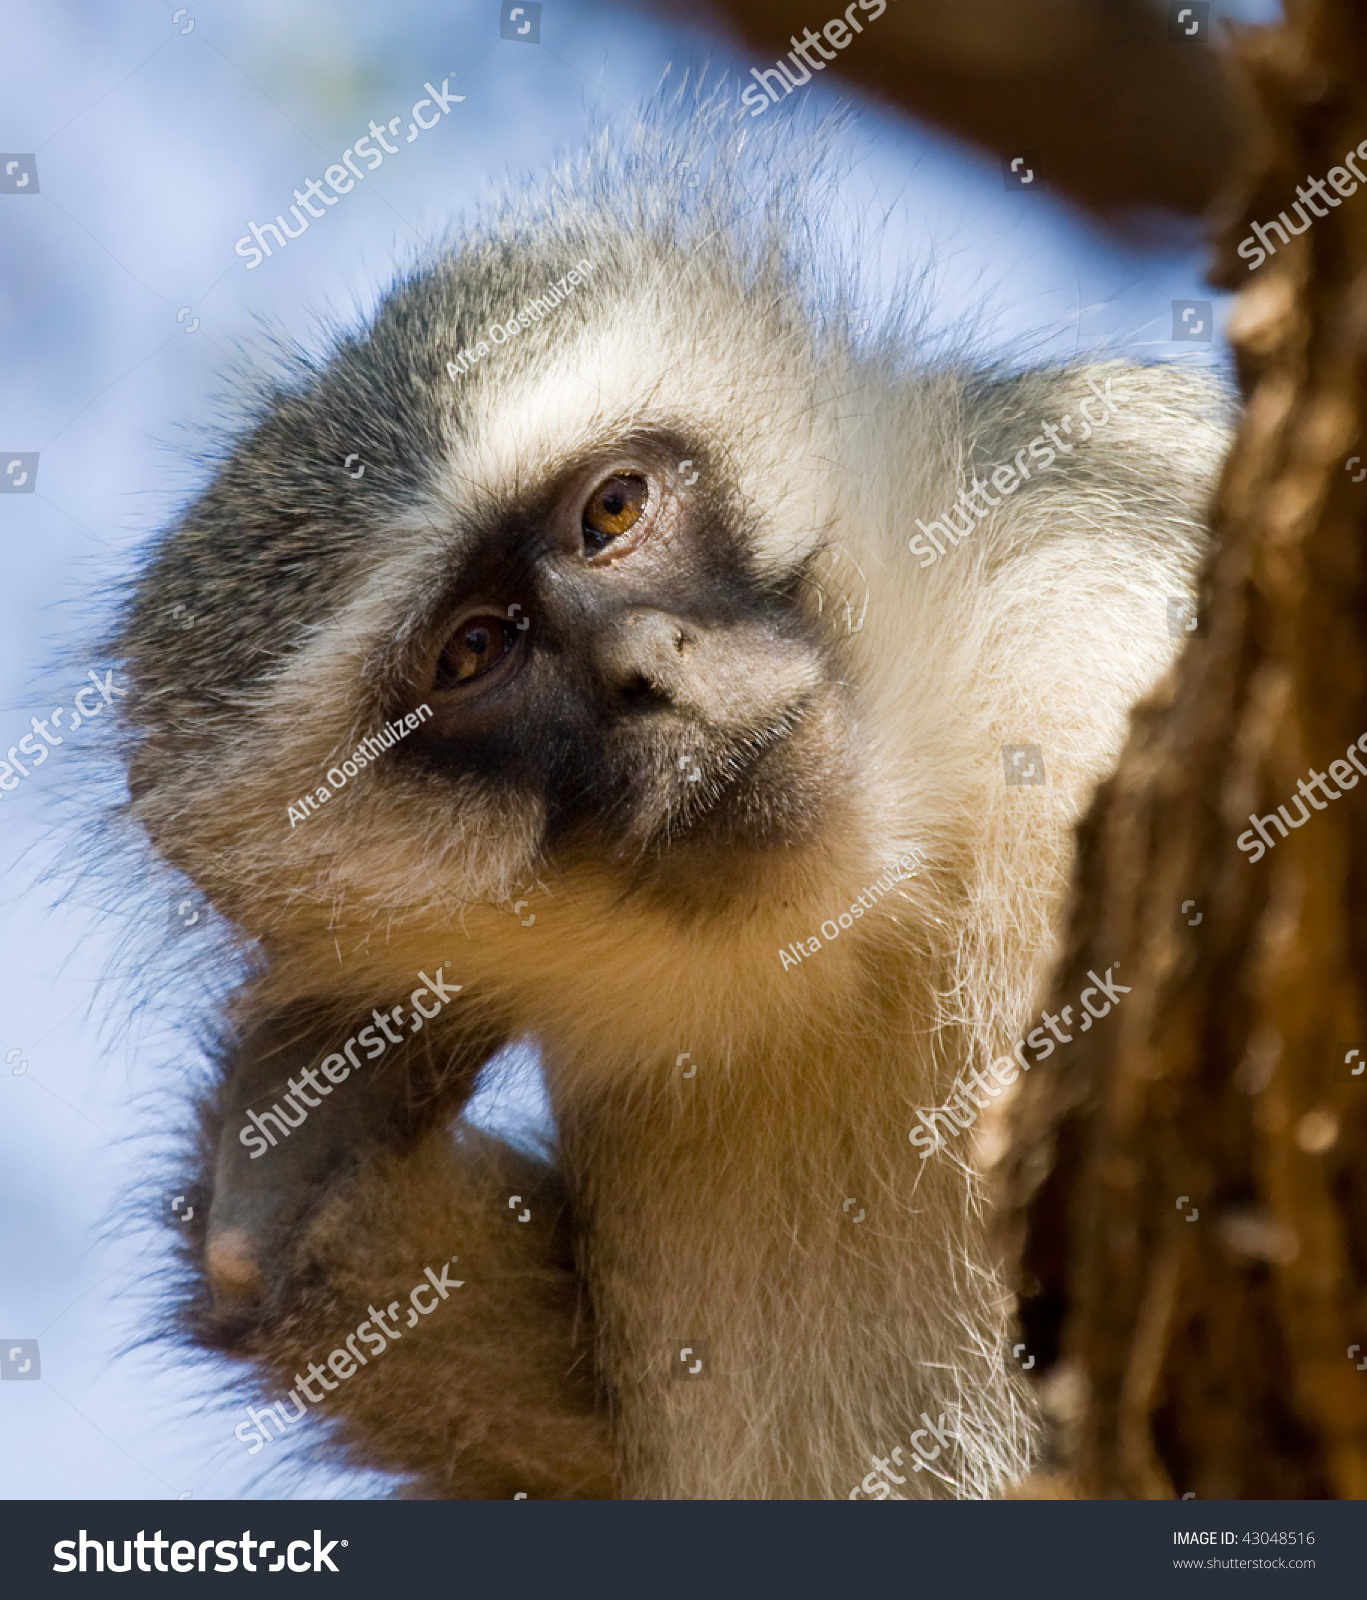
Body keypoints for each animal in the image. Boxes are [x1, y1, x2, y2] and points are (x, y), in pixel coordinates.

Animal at [109, 116, 1229, 1497]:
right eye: (473, 651)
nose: (647, 669)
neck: (881, 899)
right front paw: (286, 1170)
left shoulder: (1087, 609)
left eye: (613, 510)